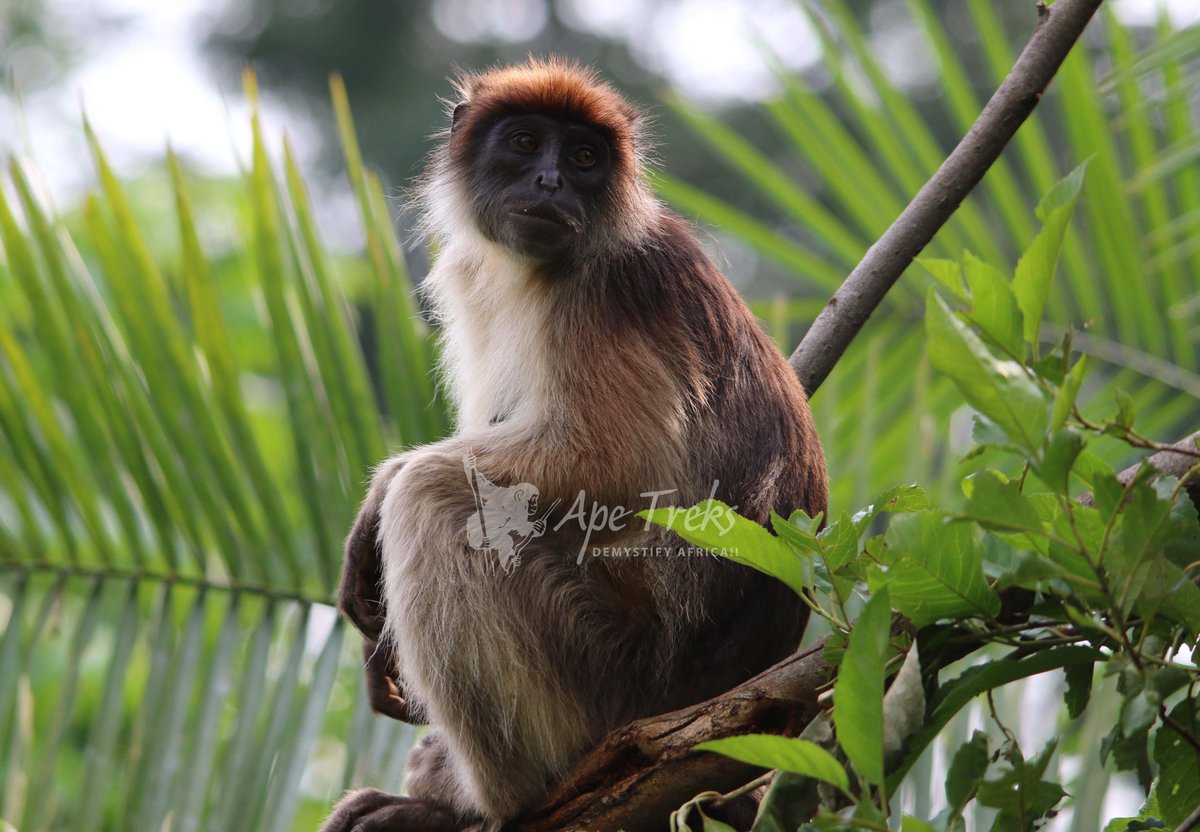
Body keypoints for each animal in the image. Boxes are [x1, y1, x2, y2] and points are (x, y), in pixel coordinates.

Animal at [323, 58, 828, 832]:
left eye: (585, 158)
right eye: (527, 143)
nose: (552, 182)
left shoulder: (606, 290)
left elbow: (614, 464)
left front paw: (382, 497)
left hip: (614, 676)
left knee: (437, 499)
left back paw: (483, 805)